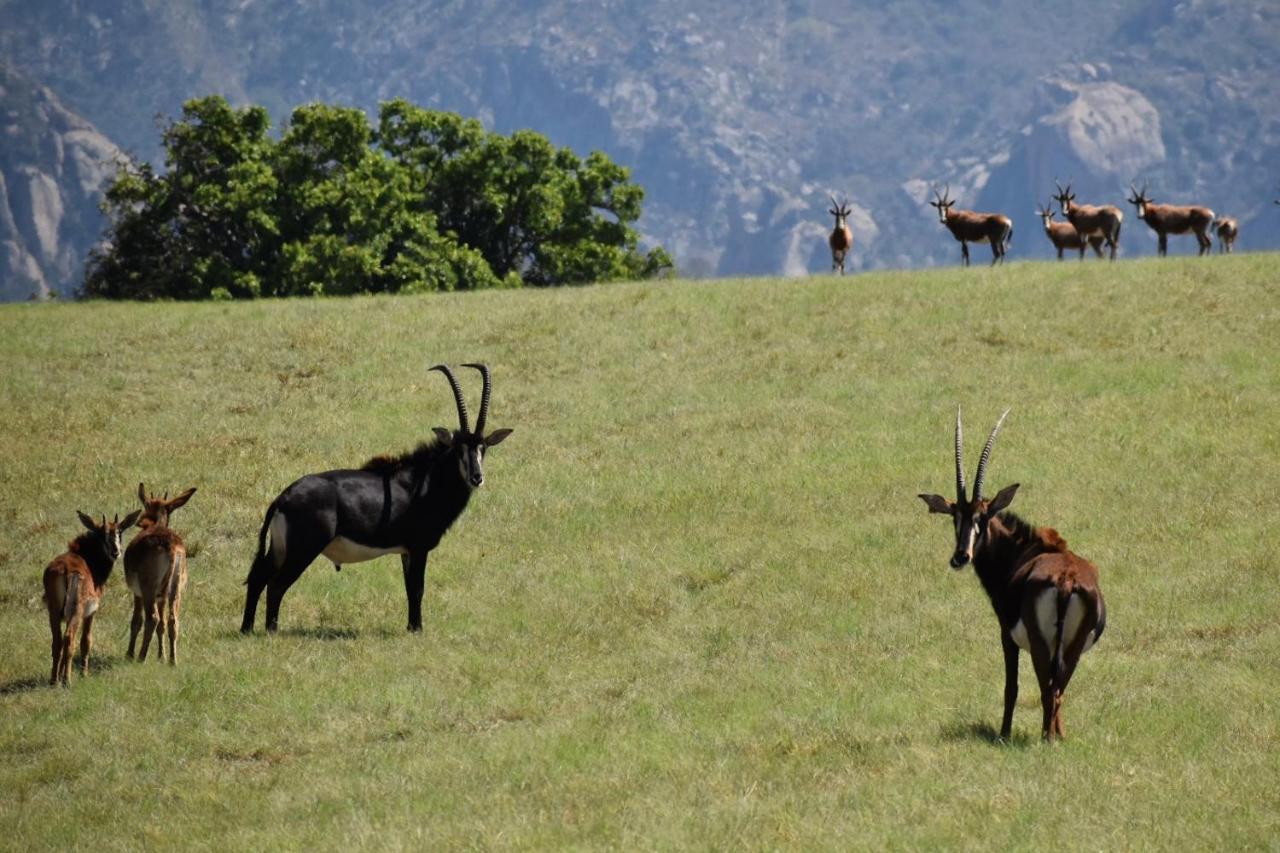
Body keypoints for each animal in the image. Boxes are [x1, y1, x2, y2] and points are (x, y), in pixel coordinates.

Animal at [42, 504, 141, 686]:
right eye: (102, 534)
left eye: (120, 531)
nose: (116, 552)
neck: (88, 559)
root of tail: (65, 570)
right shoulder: (92, 611)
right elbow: (86, 640)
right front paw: (84, 674)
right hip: (76, 610)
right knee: (69, 639)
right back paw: (67, 680)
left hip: (53, 610)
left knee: (57, 641)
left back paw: (54, 680)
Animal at [123, 481, 195, 660]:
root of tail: (170, 546)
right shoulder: (161, 597)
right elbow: (162, 625)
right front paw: (161, 656)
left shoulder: (138, 593)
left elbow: (136, 620)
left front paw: (129, 654)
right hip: (175, 589)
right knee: (172, 620)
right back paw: (172, 660)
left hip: (148, 588)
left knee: (152, 619)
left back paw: (141, 657)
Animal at [241, 361, 512, 635]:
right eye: (459, 449)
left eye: (483, 448)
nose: (477, 478)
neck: (425, 480)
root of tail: (282, 498)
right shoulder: (419, 547)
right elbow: (418, 588)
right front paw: (417, 630)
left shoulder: (406, 551)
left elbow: (409, 588)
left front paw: (410, 626)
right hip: (302, 550)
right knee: (276, 585)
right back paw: (271, 630)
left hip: (279, 549)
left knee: (257, 579)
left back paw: (247, 629)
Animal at [916, 407, 1105, 737]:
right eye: (955, 517)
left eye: (982, 517)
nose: (960, 557)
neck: (1024, 550)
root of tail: (1066, 581)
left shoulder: (1006, 635)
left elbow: (1011, 687)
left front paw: (1004, 734)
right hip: (1072, 646)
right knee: (1059, 688)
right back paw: (1055, 736)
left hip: (1041, 644)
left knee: (1047, 688)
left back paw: (1045, 738)